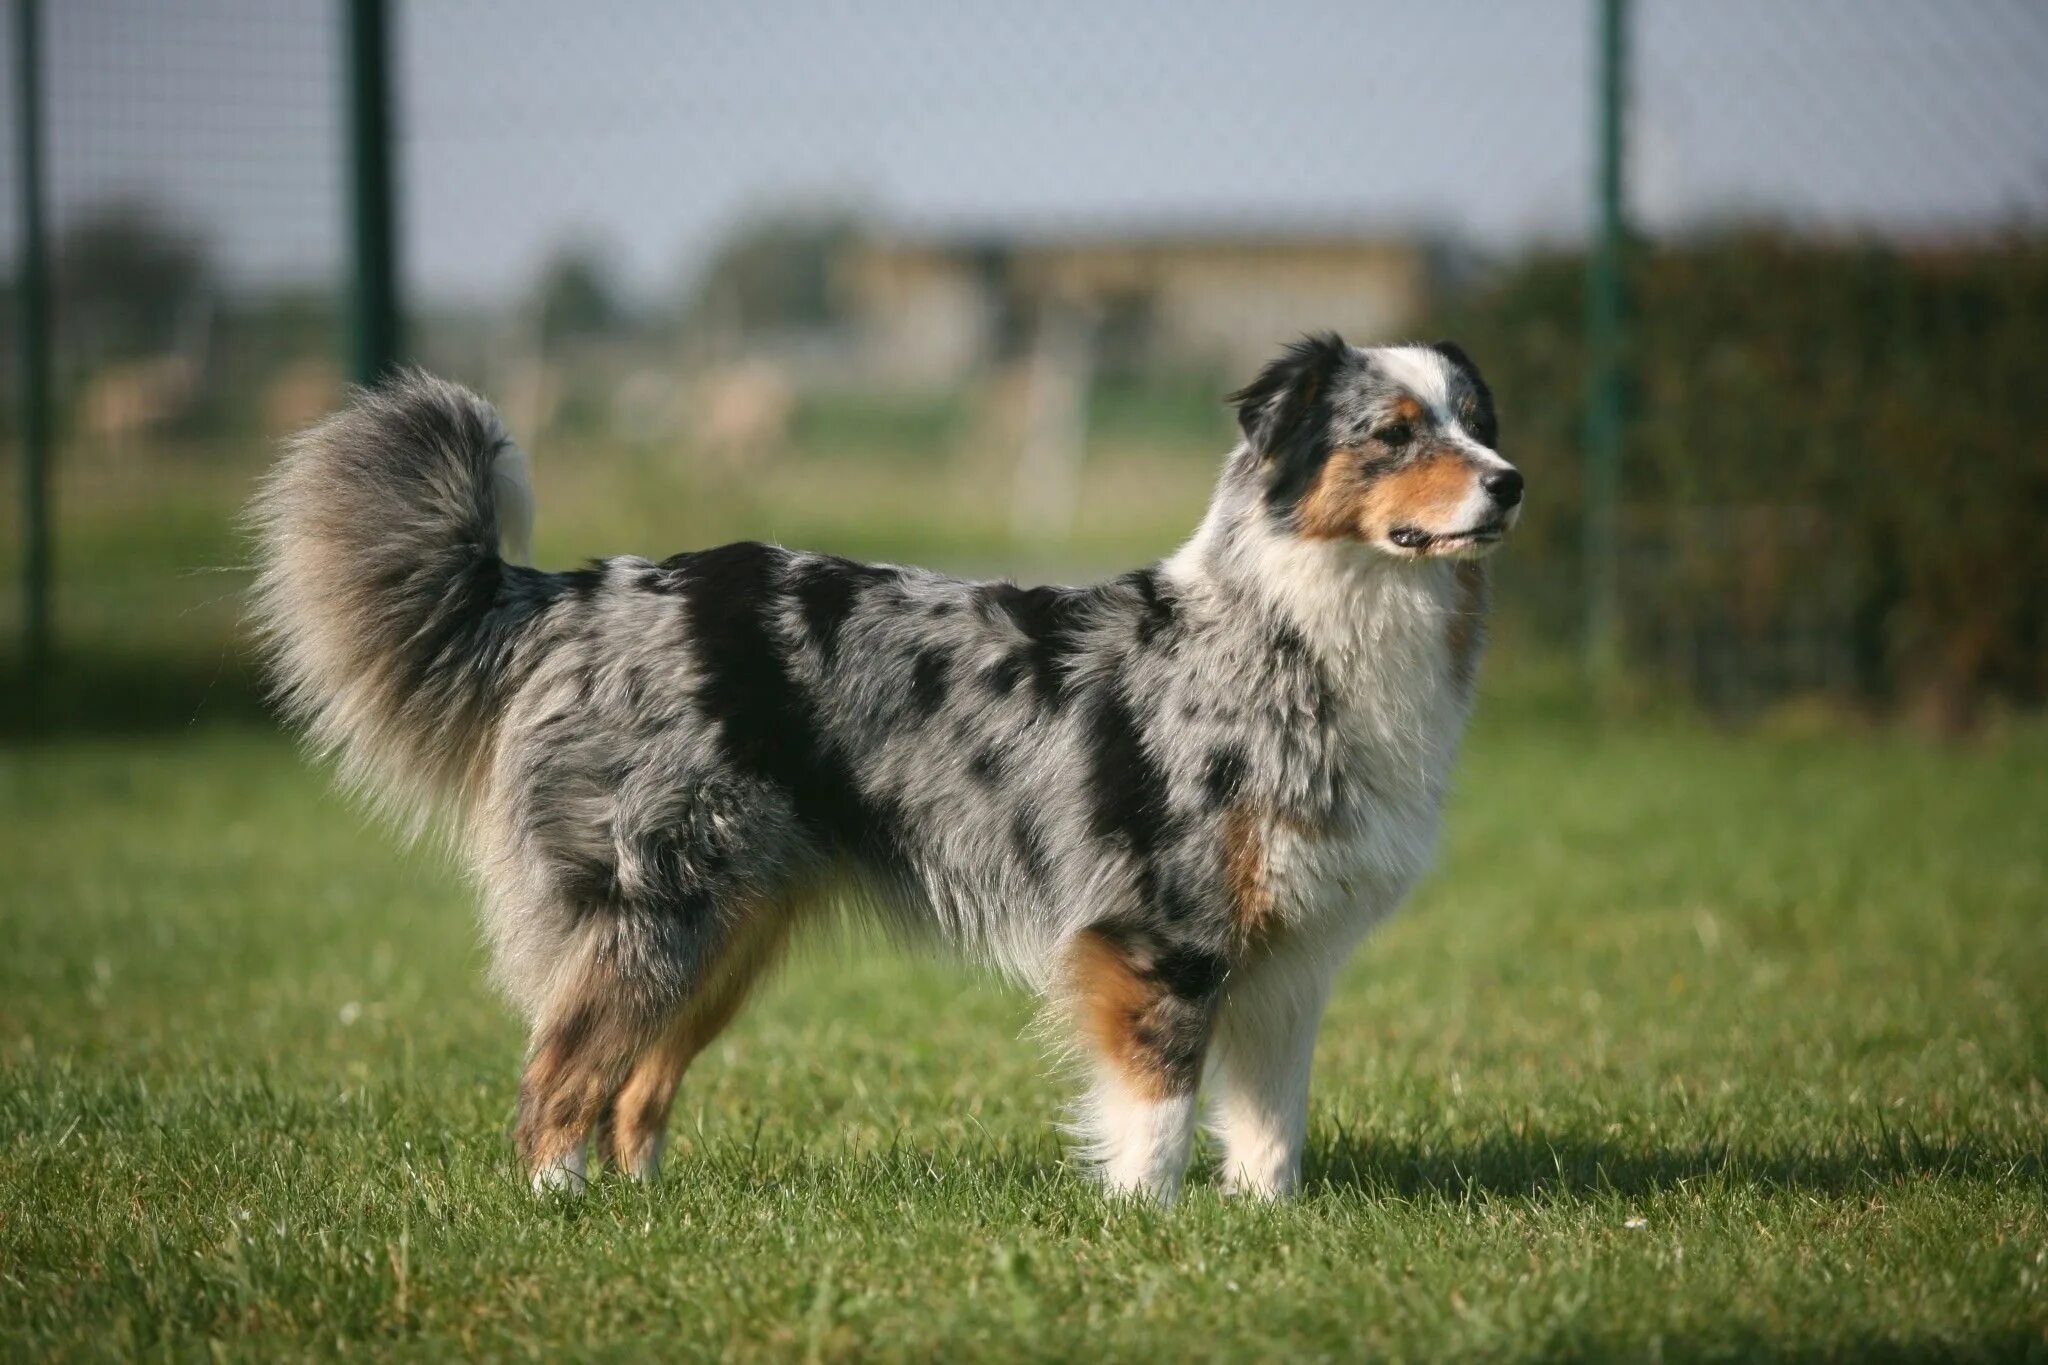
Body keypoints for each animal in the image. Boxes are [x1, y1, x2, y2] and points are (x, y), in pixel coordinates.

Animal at [247, 333, 1515, 1203]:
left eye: (1474, 419)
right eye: (1393, 431)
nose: (1508, 481)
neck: (1306, 625)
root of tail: (576, 592)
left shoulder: (1289, 959)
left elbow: (1267, 1127)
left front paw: (1262, 1227)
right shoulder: (1165, 934)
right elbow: (1156, 1113)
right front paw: (1148, 1229)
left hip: (729, 930)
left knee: (636, 1085)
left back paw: (644, 1209)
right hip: (653, 910)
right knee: (558, 1074)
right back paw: (560, 1206)